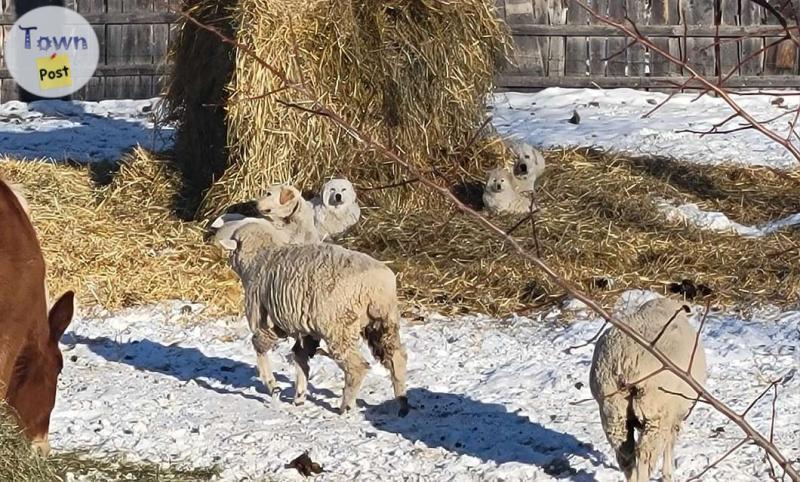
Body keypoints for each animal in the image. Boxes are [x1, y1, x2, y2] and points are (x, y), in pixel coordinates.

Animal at [220, 221, 410, 414]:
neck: (261, 256)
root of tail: (375, 285)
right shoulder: (304, 328)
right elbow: (300, 357)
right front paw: (299, 397)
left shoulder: (264, 319)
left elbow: (260, 348)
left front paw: (273, 386)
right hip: (383, 322)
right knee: (397, 358)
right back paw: (402, 404)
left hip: (339, 327)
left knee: (357, 367)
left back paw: (346, 407)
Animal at [588, 298, 708, 482]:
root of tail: (626, 361)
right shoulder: (675, 413)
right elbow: (670, 443)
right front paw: (668, 475)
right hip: (655, 411)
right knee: (645, 453)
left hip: (612, 408)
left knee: (625, 452)